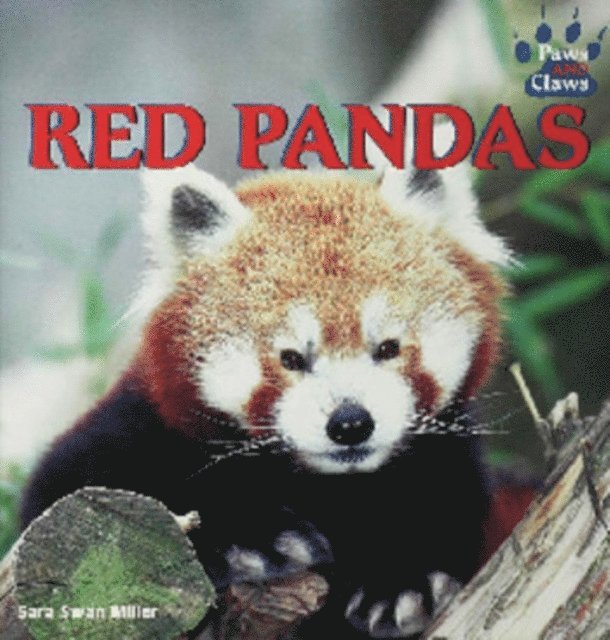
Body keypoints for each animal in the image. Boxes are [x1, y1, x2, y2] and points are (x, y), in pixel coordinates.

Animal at [21, 147, 514, 638]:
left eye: (388, 348)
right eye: (291, 358)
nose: (350, 424)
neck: (328, 486)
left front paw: (399, 582)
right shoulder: (138, 427)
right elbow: (72, 488)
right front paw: (253, 539)